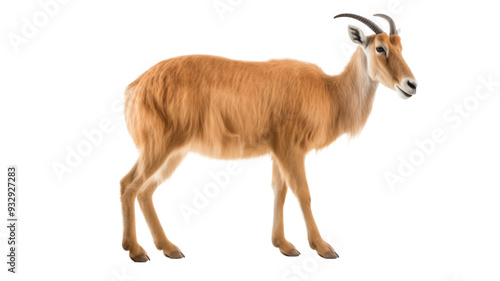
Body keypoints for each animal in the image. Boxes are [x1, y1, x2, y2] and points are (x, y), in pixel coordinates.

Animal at [121, 14, 418, 262]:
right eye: (380, 48)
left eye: (400, 46)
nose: (411, 85)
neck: (329, 92)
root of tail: (136, 87)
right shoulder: (290, 149)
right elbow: (303, 192)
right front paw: (323, 247)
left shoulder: (277, 152)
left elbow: (280, 191)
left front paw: (284, 245)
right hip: (159, 147)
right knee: (129, 185)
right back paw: (136, 251)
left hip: (174, 153)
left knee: (146, 190)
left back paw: (169, 248)